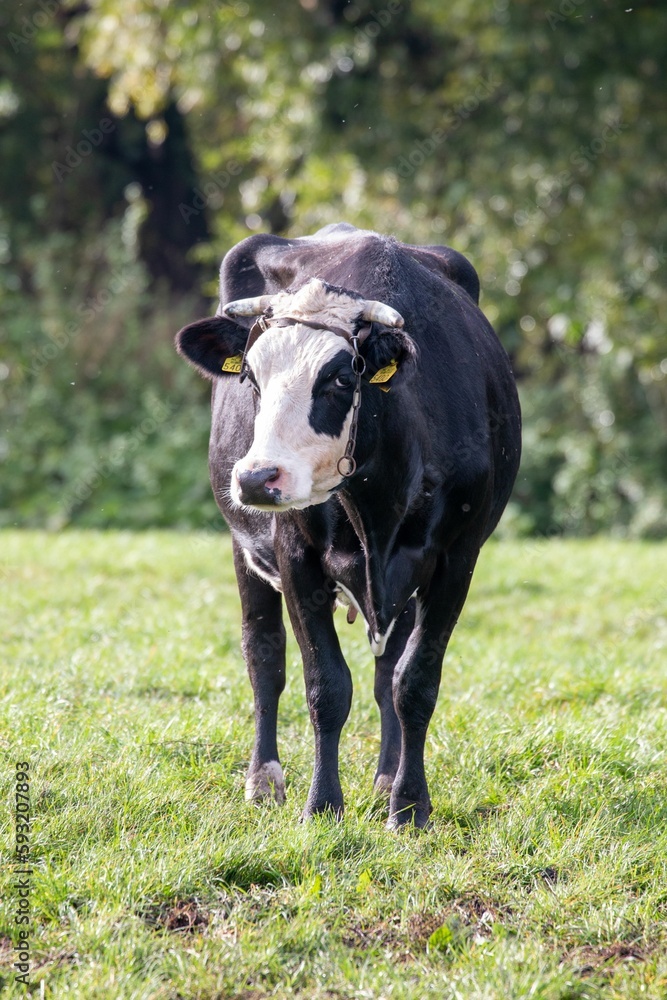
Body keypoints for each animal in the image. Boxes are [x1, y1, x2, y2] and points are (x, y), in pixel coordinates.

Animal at [175, 225, 520, 828]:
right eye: (250, 377)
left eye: (338, 377)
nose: (257, 476)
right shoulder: (296, 557)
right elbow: (325, 686)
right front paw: (322, 805)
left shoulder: (456, 559)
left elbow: (413, 683)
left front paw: (409, 805)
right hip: (246, 551)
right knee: (264, 658)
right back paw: (263, 779)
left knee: (386, 676)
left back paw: (384, 782)